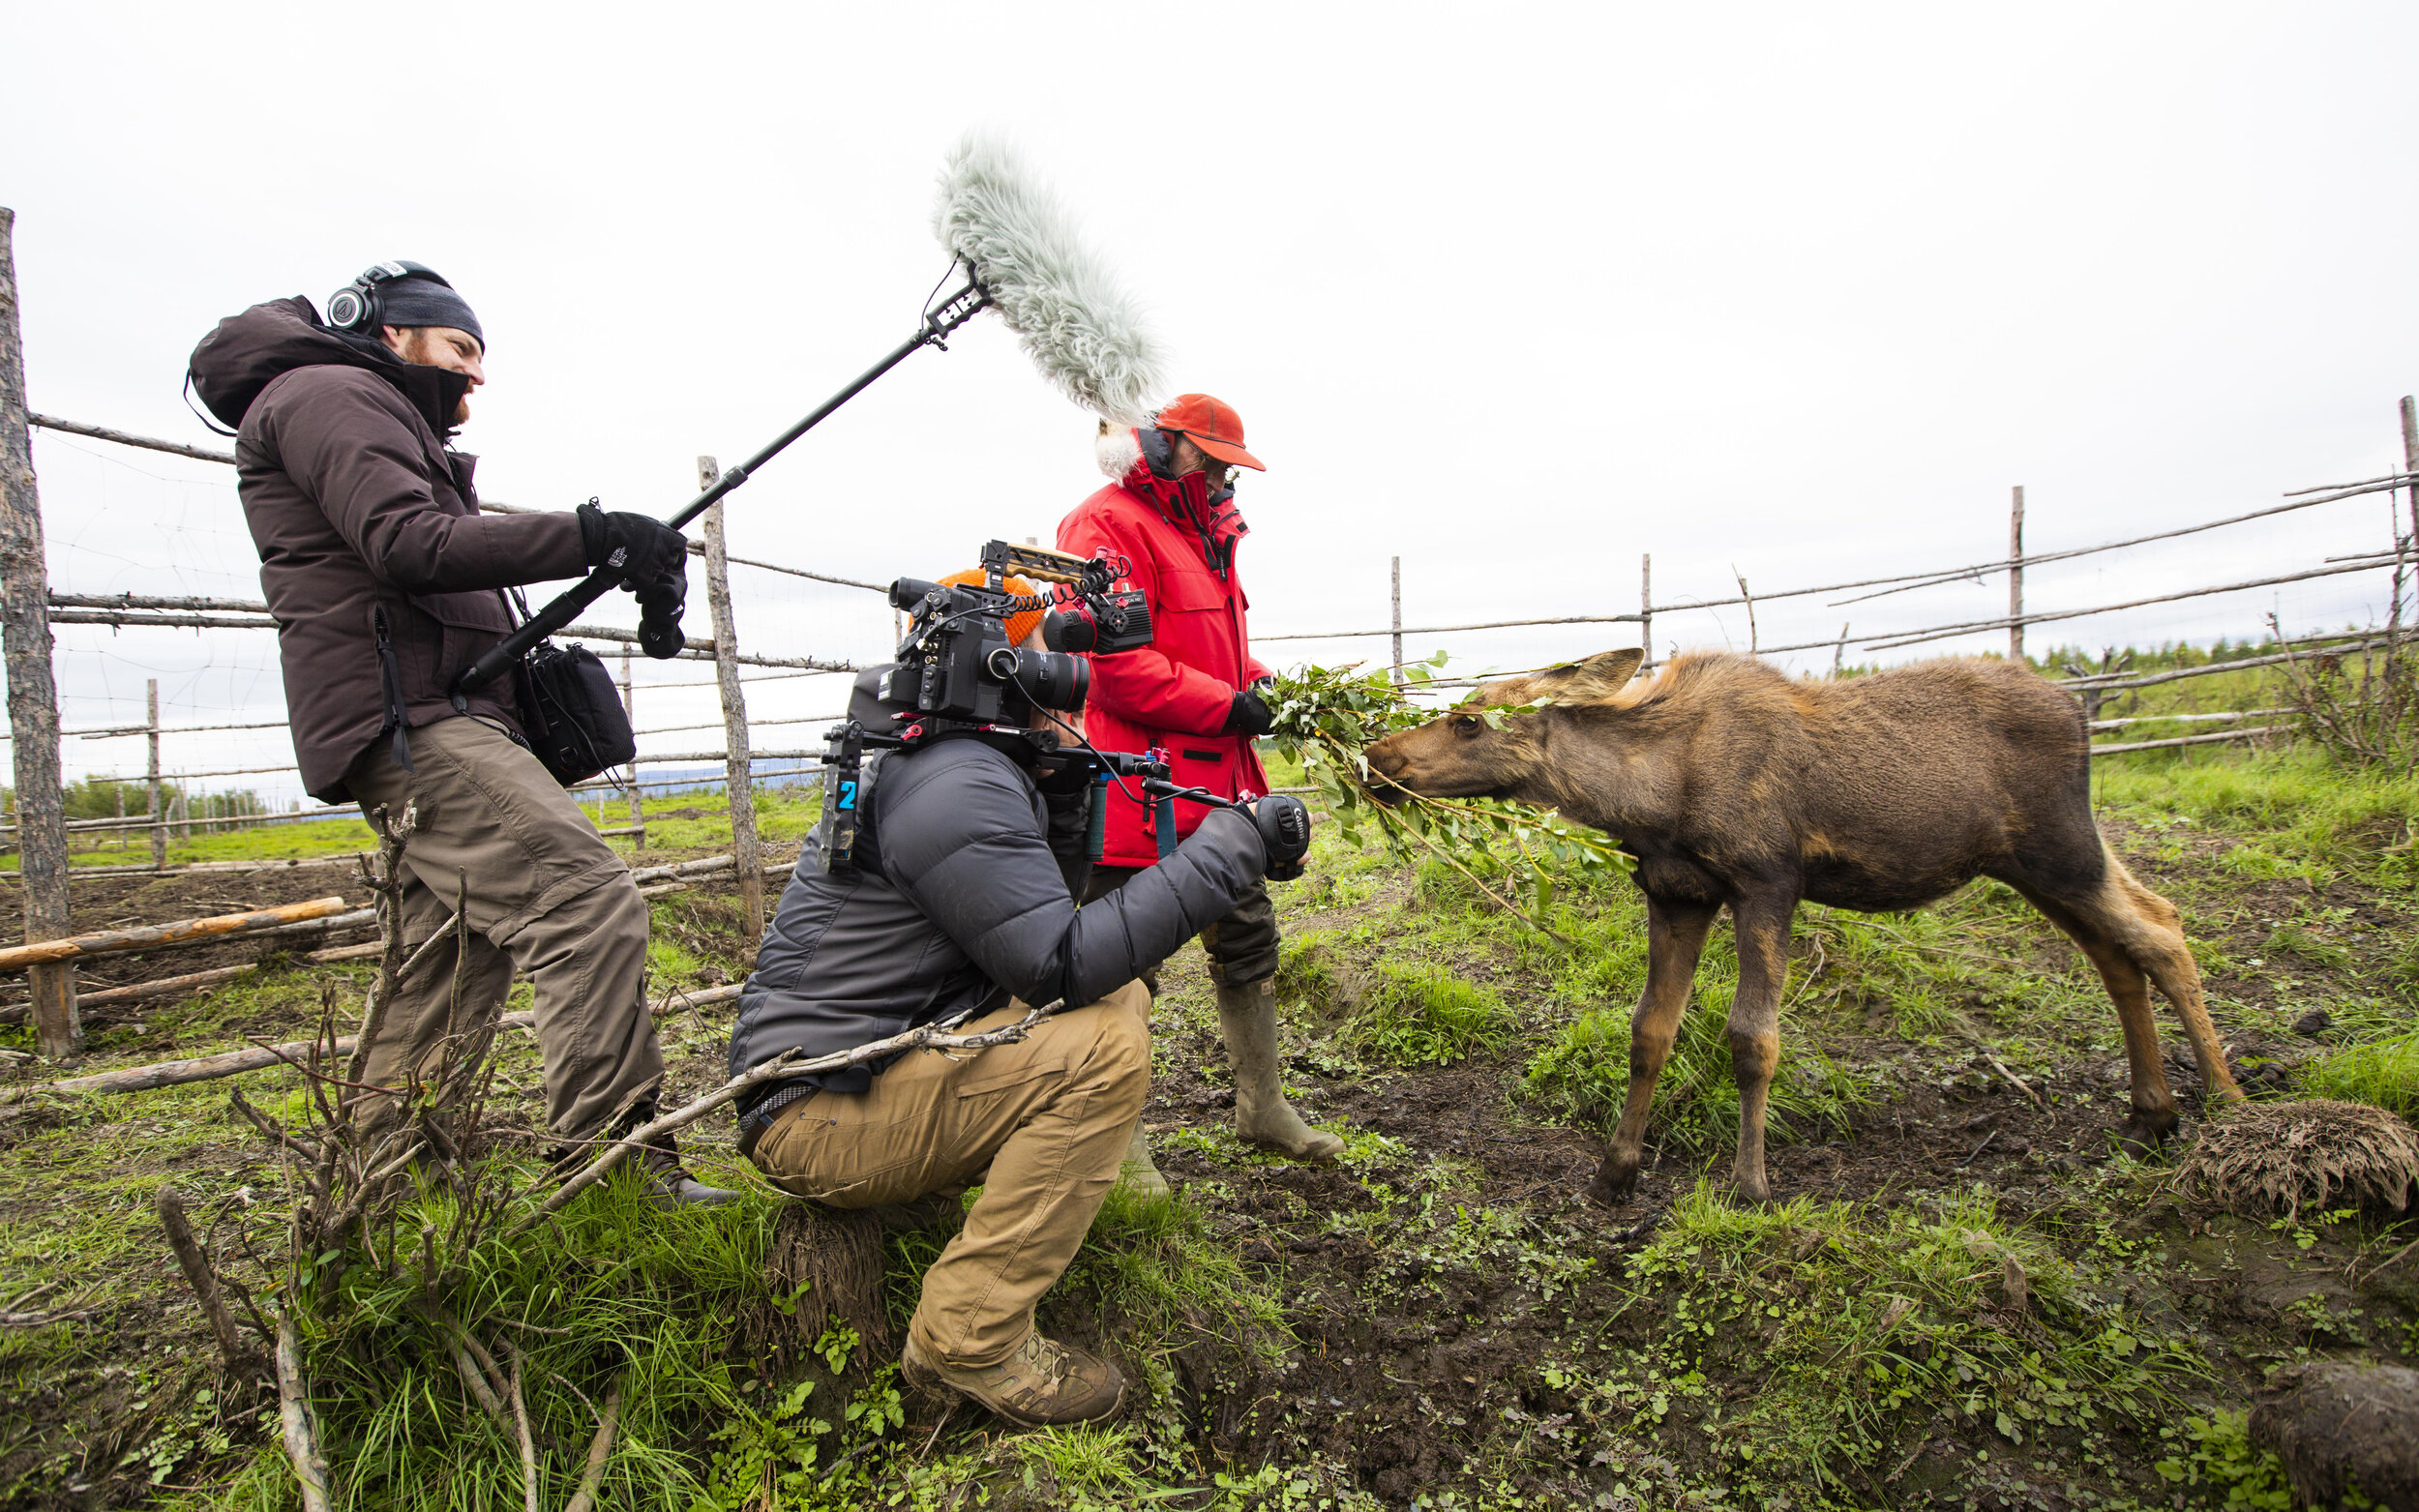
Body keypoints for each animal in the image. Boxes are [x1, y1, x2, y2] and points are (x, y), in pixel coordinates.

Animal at [1374, 648, 2235, 1204]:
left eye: (1469, 720)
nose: (1379, 756)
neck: (1649, 800)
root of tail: (2080, 711)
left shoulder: (1768, 883)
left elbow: (1753, 1038)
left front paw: (1750, 1183)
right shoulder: (1677, 893)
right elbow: (1650, 1028)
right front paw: (1616, 1169)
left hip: (2063, 847)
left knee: (2163, 930)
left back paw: (2226, 1102)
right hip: (2029, 865)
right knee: (2120, 952)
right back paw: (2152, 1111)